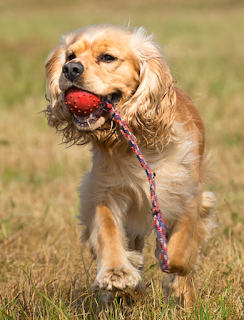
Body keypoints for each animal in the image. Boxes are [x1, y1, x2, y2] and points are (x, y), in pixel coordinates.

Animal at [43, 23, 215, 306]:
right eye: (70, 56)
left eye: (107, 58)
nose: (70, 69)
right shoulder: (104, 191)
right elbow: (108, 230)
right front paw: (118, 271)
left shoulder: (188, 193)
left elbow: (180, 249)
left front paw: (177, 271)